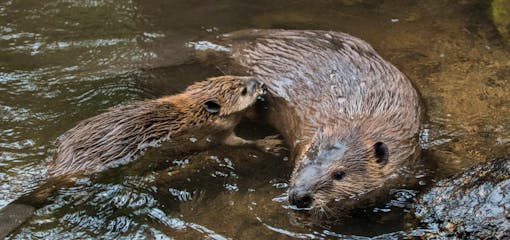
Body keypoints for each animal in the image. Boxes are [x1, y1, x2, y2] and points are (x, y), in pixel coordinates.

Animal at [0, 75, 278, 238]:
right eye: (242, 90)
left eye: (238, 77)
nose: (260, 83)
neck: (192, 110)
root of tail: (55, 172)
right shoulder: (214, 133)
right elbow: (236, 142)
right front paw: (270, 144)